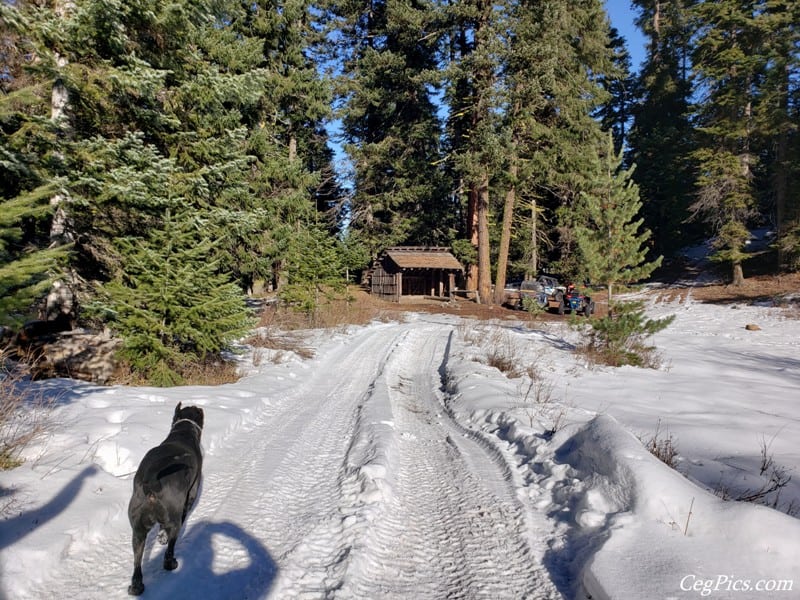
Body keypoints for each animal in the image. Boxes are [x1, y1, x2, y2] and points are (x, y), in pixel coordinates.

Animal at [126, 404, 205, 596]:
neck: (183, 431)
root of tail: (152, 486)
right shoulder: (190, 495)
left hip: (137, 531)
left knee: (137, 561)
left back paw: (136, 587)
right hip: (174, 521)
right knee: (169, 549)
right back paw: (171, 563)